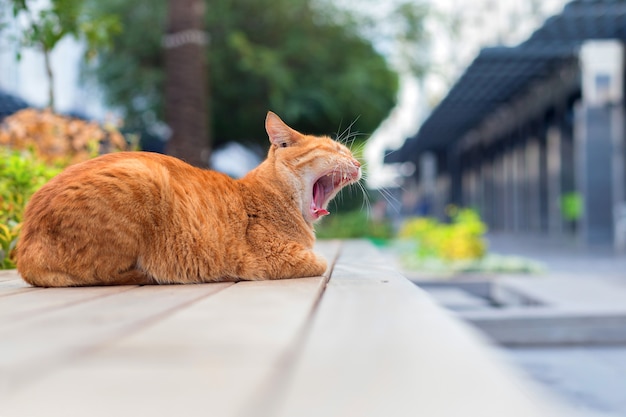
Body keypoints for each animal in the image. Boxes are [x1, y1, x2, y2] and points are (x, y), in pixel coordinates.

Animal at [15, 111, 360, 286]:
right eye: (336, 150)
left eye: (348, 153)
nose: (357, 163)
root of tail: (24, 246)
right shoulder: (281, 257)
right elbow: (321, 262)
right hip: (144, 176)